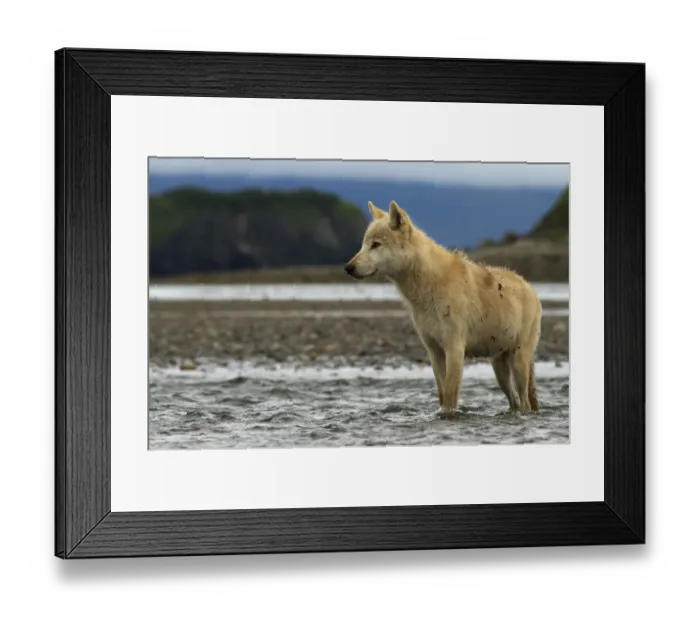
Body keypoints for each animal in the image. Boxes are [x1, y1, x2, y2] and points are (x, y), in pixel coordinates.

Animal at [345, 200, 542, 417]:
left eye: (376, 245)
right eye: (364, 244)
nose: (348, 267)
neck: (428, 286)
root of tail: (530, 288)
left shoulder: (454, 349)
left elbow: (449, 396)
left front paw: (448, 416)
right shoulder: (434, 351)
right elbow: (441, 393)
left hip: (518, 362)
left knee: (524, 402)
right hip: (499, 367)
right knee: (515, 400)